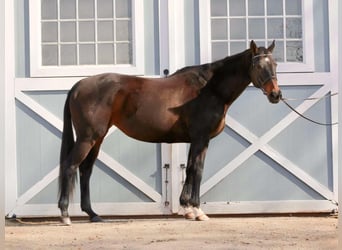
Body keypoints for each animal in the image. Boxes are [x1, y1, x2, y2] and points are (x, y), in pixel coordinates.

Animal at [58, 41, 282, 225]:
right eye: (258, 66)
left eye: (275, 65)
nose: (276, 94)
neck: (209, 89)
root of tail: (78, 85)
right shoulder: (201, 138)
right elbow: (197, 170)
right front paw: (197, 210)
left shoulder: (196, 140)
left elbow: (190, 168)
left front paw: (187, 208)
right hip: (88, 138)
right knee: (70, 166)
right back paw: (65, 214)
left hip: (97, 139)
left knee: (85, 170)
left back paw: (93, 214)